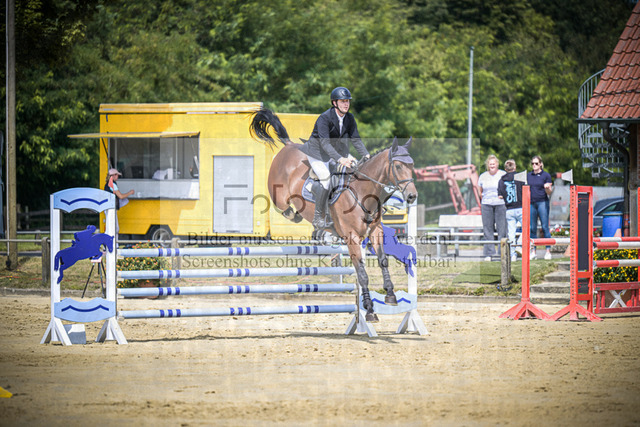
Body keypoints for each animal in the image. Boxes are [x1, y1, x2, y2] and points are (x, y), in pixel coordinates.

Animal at [250, 108, 417, 322]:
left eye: (411, 165)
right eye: (397, 167)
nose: (412, 196)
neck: (361, 192)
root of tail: (289, 146)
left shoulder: (375, 231)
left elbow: (383, 261)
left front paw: (390, 295)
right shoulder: (352, 237)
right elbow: (362, 273)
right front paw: (369, 310)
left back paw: (319, 229)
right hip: (278, 194)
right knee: (284, 208)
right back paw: (308, 222)